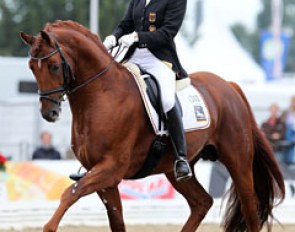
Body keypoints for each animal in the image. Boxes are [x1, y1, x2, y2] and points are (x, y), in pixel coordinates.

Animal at [20, 20, 284, 232]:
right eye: (31, 67)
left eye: (54, 66)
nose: (49, 113)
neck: (102, 95)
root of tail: (229, 85)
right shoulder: (105, 176)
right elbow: (117, 221)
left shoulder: (111, 168)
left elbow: (69, 194)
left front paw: (49, 227)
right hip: (176, 169)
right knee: (202, 202)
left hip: (237, 160)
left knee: (250, 207)